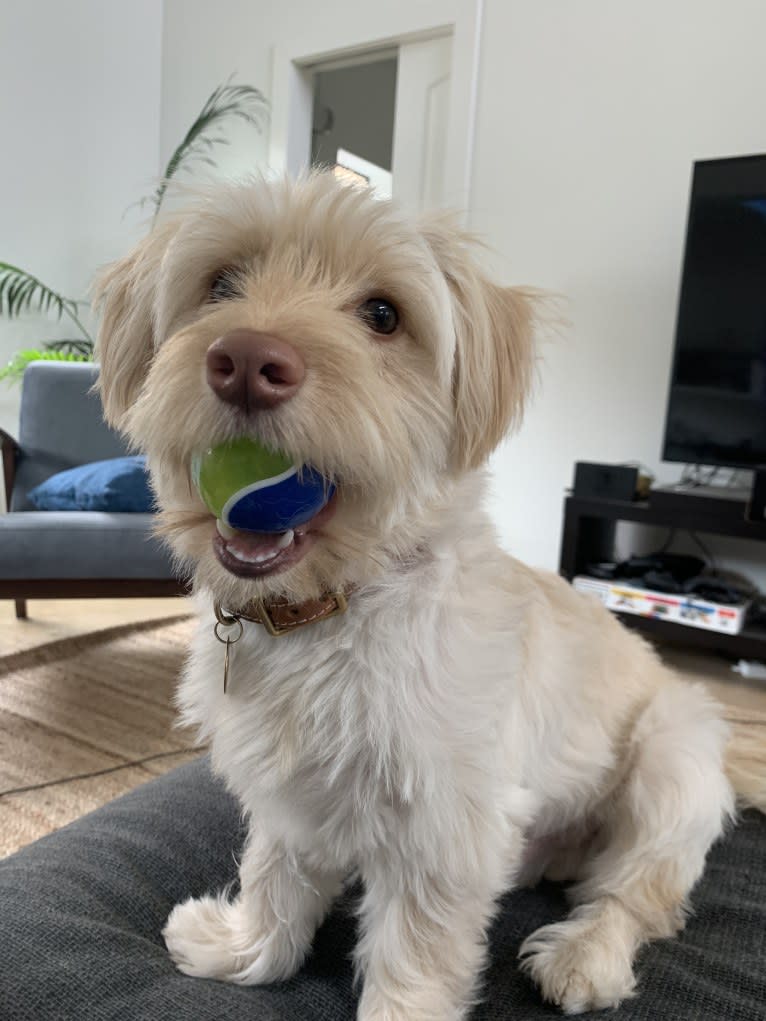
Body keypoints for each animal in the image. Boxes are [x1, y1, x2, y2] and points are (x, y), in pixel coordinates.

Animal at [96, 171, 766, 1016]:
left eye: (383, 314)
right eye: (219, 284)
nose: (245, 360)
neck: (330, 607)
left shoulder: (443, 827)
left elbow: (414, 952)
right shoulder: (292, 792)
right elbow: (276, 873)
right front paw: (246, 949)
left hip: (671, 758)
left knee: (638, 893)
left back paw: (586, 952)